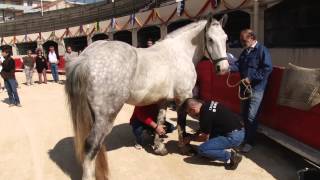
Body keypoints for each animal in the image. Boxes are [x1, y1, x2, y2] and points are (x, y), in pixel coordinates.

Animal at [65, 14, 229, 179]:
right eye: (210, 39)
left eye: (226, 38)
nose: (223, 68)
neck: (180, 53)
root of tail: (86, 57)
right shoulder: (183, 97)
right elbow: (181, 124)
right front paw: (184, 148)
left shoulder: (163, 100)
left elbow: (160, 121)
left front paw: (159, 147)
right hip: (105, 116)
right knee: (91, 144)